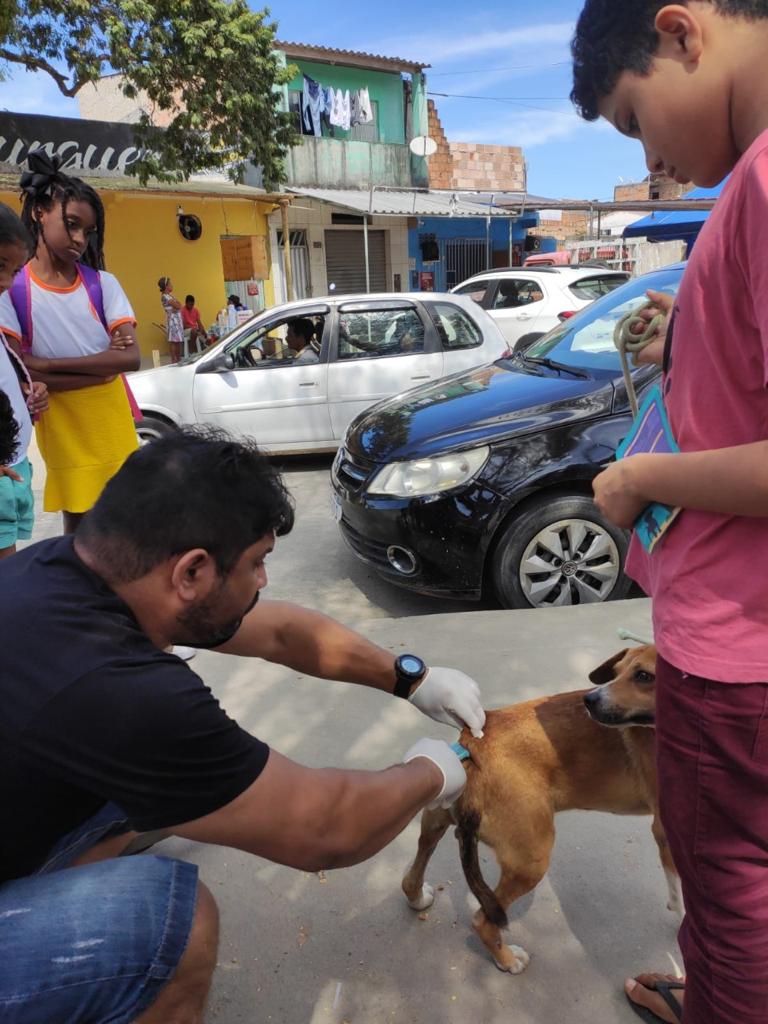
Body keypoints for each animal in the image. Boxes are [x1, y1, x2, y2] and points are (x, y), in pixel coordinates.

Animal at [399, 643, 684, 970]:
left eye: (644, 676)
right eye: (616, 672)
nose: (590, 699)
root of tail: (474, 743)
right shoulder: (667, 831)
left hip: (434, 818)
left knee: (413, 871)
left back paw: (418, 898)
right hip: (532, 859)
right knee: (483, 920)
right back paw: (508, 960)